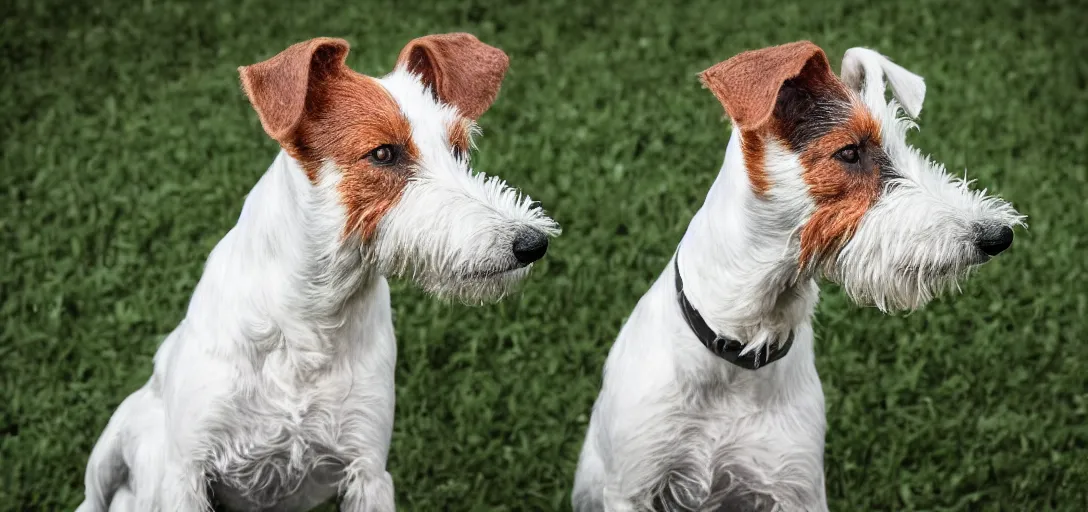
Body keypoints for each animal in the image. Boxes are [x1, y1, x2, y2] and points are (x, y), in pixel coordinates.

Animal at [74, 33, 561, 512]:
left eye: (459, 150)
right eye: (383, 153)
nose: (531, 243)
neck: (309, 321)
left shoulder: (367, 469)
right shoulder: (187, 475)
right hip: (107, 453)